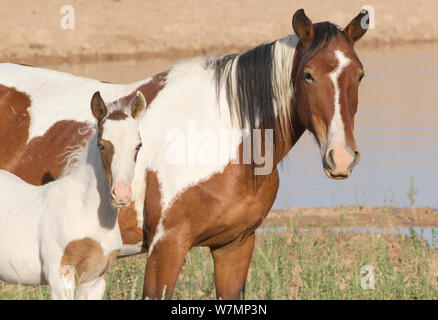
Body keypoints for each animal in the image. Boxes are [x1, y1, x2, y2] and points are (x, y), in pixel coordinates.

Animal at [0, 89, 146, 298]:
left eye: (138, 145)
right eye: (101, 145)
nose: (121, 194)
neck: (85, 211)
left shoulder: (95, 280)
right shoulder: (60, 276)